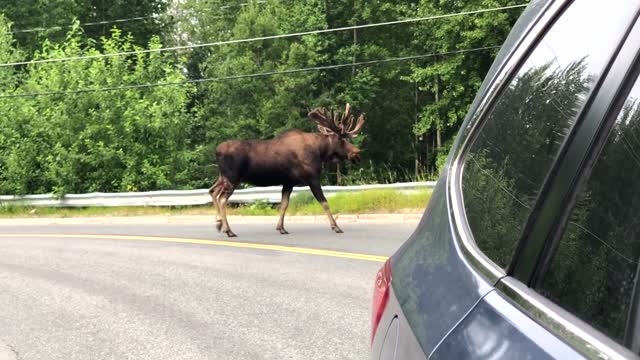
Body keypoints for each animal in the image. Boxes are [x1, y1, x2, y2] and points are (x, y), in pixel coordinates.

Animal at [210, 102, 364, 238]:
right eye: (341, 140)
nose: (357, 152)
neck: (320, 152)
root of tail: (217, 151)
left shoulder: (288, 183)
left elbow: (284, 204)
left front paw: (281, 228)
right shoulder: (313, 178)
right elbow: (324, 202)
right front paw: (336, 227)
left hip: (222, 177)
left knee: (213, 191)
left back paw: (219, 224)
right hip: (232, 178)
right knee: (222, 199)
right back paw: (229, 230)